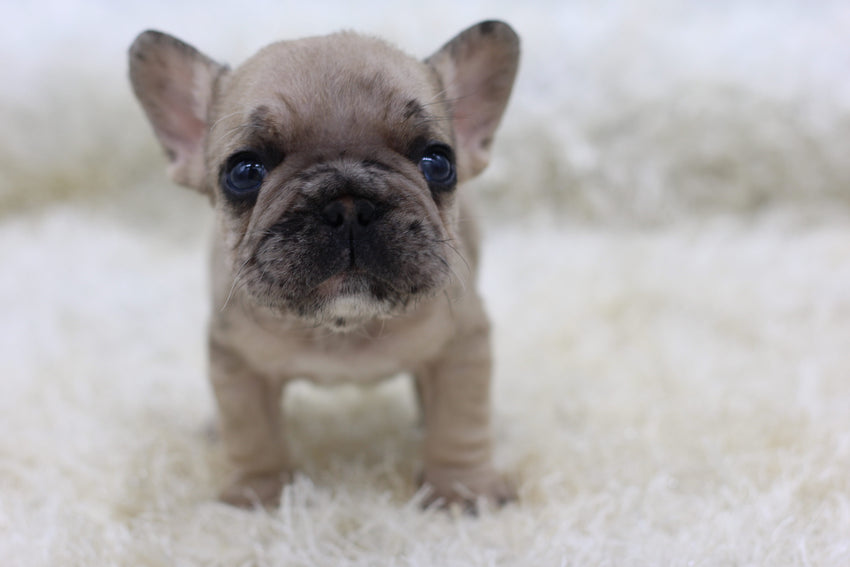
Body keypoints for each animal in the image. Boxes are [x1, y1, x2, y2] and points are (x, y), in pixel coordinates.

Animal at [127, 18, 516, 510]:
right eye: (244, 172)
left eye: (438, 162)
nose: (349, 205)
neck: (342, 329)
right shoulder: (237, 361)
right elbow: (251, 434)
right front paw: (259, 495)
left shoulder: (463, 344)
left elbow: (460, 423)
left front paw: (463, 490)